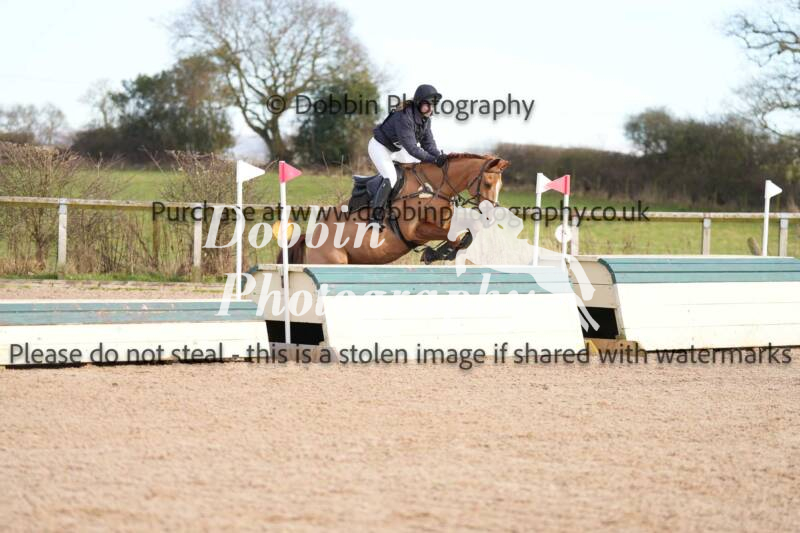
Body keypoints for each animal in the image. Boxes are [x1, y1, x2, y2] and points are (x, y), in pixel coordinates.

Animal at [286, 153, 508, 264]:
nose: (490, 217)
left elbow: (466, 231)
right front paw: (435, 253)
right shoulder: (413, 232)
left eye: (500, 186)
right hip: (332, 262)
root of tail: (310, 236)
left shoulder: (443, 222)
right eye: (487, 183)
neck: (431, 187)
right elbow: (453, 236)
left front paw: (439, 253)